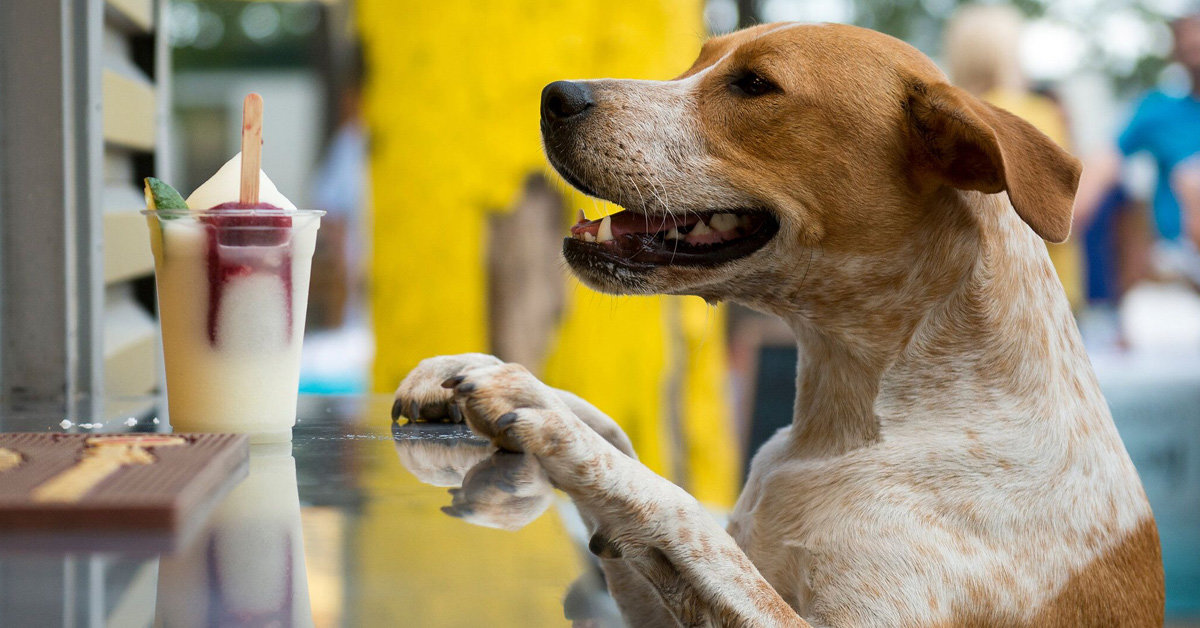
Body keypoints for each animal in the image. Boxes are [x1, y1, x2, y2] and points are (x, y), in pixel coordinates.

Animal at [393, 22, 1161, 624]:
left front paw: (555, 430)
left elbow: (681, 510)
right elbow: (623, 445)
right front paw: (492, 376)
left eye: (755, 86)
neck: (849, 427)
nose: (555, 96)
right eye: (698, 61)